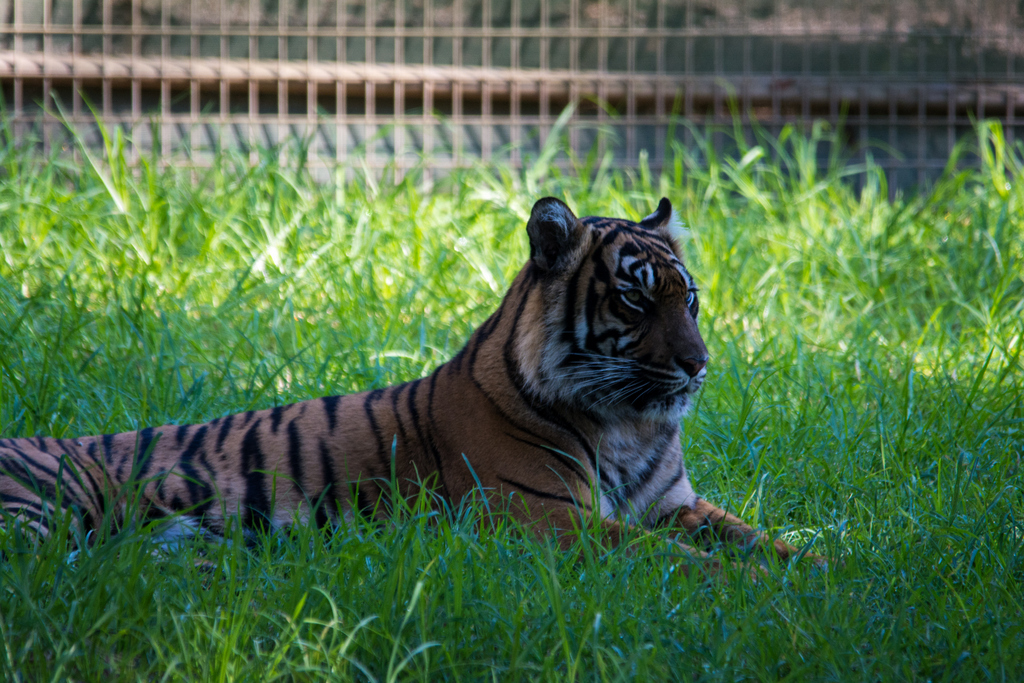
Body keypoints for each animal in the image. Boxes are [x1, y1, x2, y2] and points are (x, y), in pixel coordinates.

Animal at [0, 197, 825, 576]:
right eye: (633, 298)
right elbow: (687, 559)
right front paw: (757, 586)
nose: (699, 364)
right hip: (43, 509)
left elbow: (761, 537)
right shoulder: (550, 520)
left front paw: (830, 567)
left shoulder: (675, 504)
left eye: (690, 299)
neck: (627, 422)